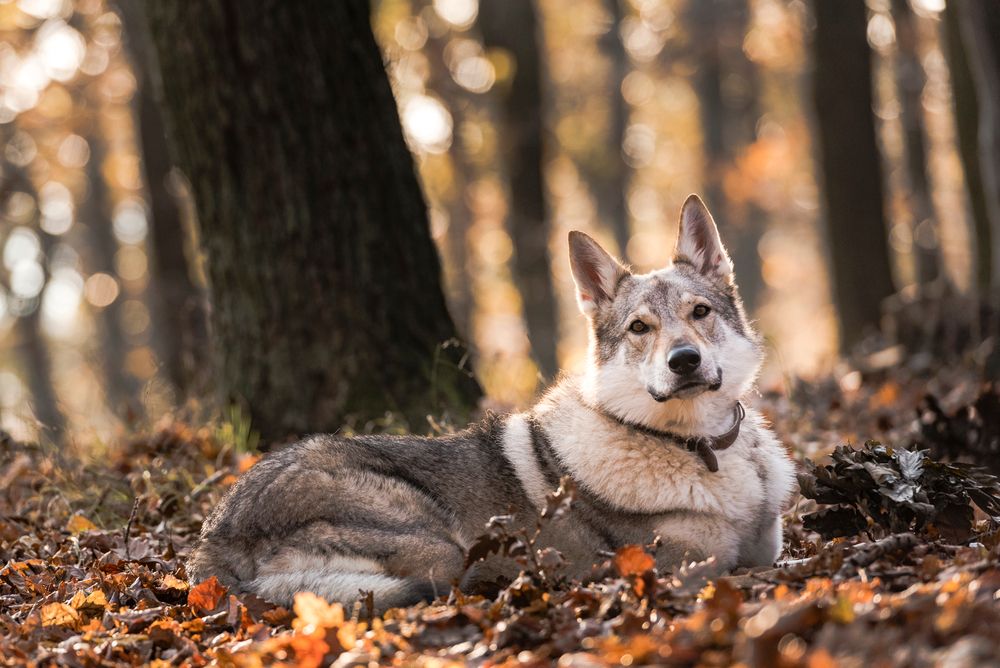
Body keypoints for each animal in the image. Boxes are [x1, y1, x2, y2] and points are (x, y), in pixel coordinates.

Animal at [187, 194, 797, 612]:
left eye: (700, 312)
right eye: (640, 328)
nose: (684, 361)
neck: (697, 445)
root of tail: (214, 540)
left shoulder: (765, 544)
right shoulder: (690, 564)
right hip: (440, 552)